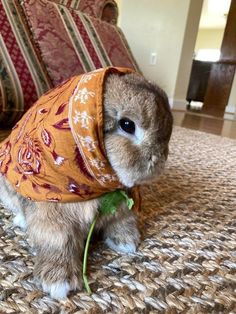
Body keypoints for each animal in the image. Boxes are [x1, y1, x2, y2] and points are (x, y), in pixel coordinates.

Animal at [0, 67, 173, 298]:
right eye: (127, 125)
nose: (159, 162)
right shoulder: (52, 216)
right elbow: (57, 241)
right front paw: (59, 282)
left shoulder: (121, 209)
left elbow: (122, 221)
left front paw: (126, 243)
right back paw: (21, 221)